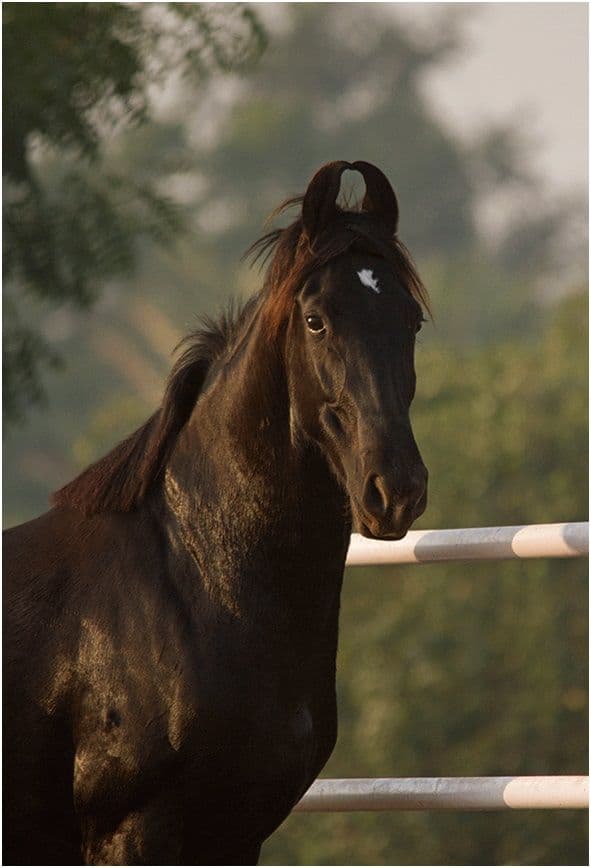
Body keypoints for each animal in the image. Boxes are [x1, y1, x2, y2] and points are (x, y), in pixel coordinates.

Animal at [4, 160, 429, 865]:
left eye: (412, 320)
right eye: (315, 320)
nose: (395, 489)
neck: (196, 580)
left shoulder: (238, 834)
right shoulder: (132, 834)